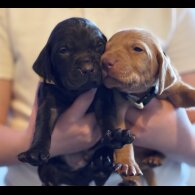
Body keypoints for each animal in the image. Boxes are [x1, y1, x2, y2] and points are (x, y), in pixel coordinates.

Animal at [17, 17, 134, 185]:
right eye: (63, 50)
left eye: (99, 45)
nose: (87, 68)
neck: (75, 93)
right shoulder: (49, 101)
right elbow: (43, 124)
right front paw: (36, 151)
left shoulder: (102, 97)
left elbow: (106, 117)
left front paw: (114, 135)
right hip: (48, 170)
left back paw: (102, 161)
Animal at [101, 29, 195, 186]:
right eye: (106, 48)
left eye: (137, 49)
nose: (104, 62)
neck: (141, 94)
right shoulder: (117, 106)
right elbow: (122, 136)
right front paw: (127, 163)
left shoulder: (173, 88)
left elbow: (187, 92)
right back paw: (131, 181)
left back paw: (154, 158)